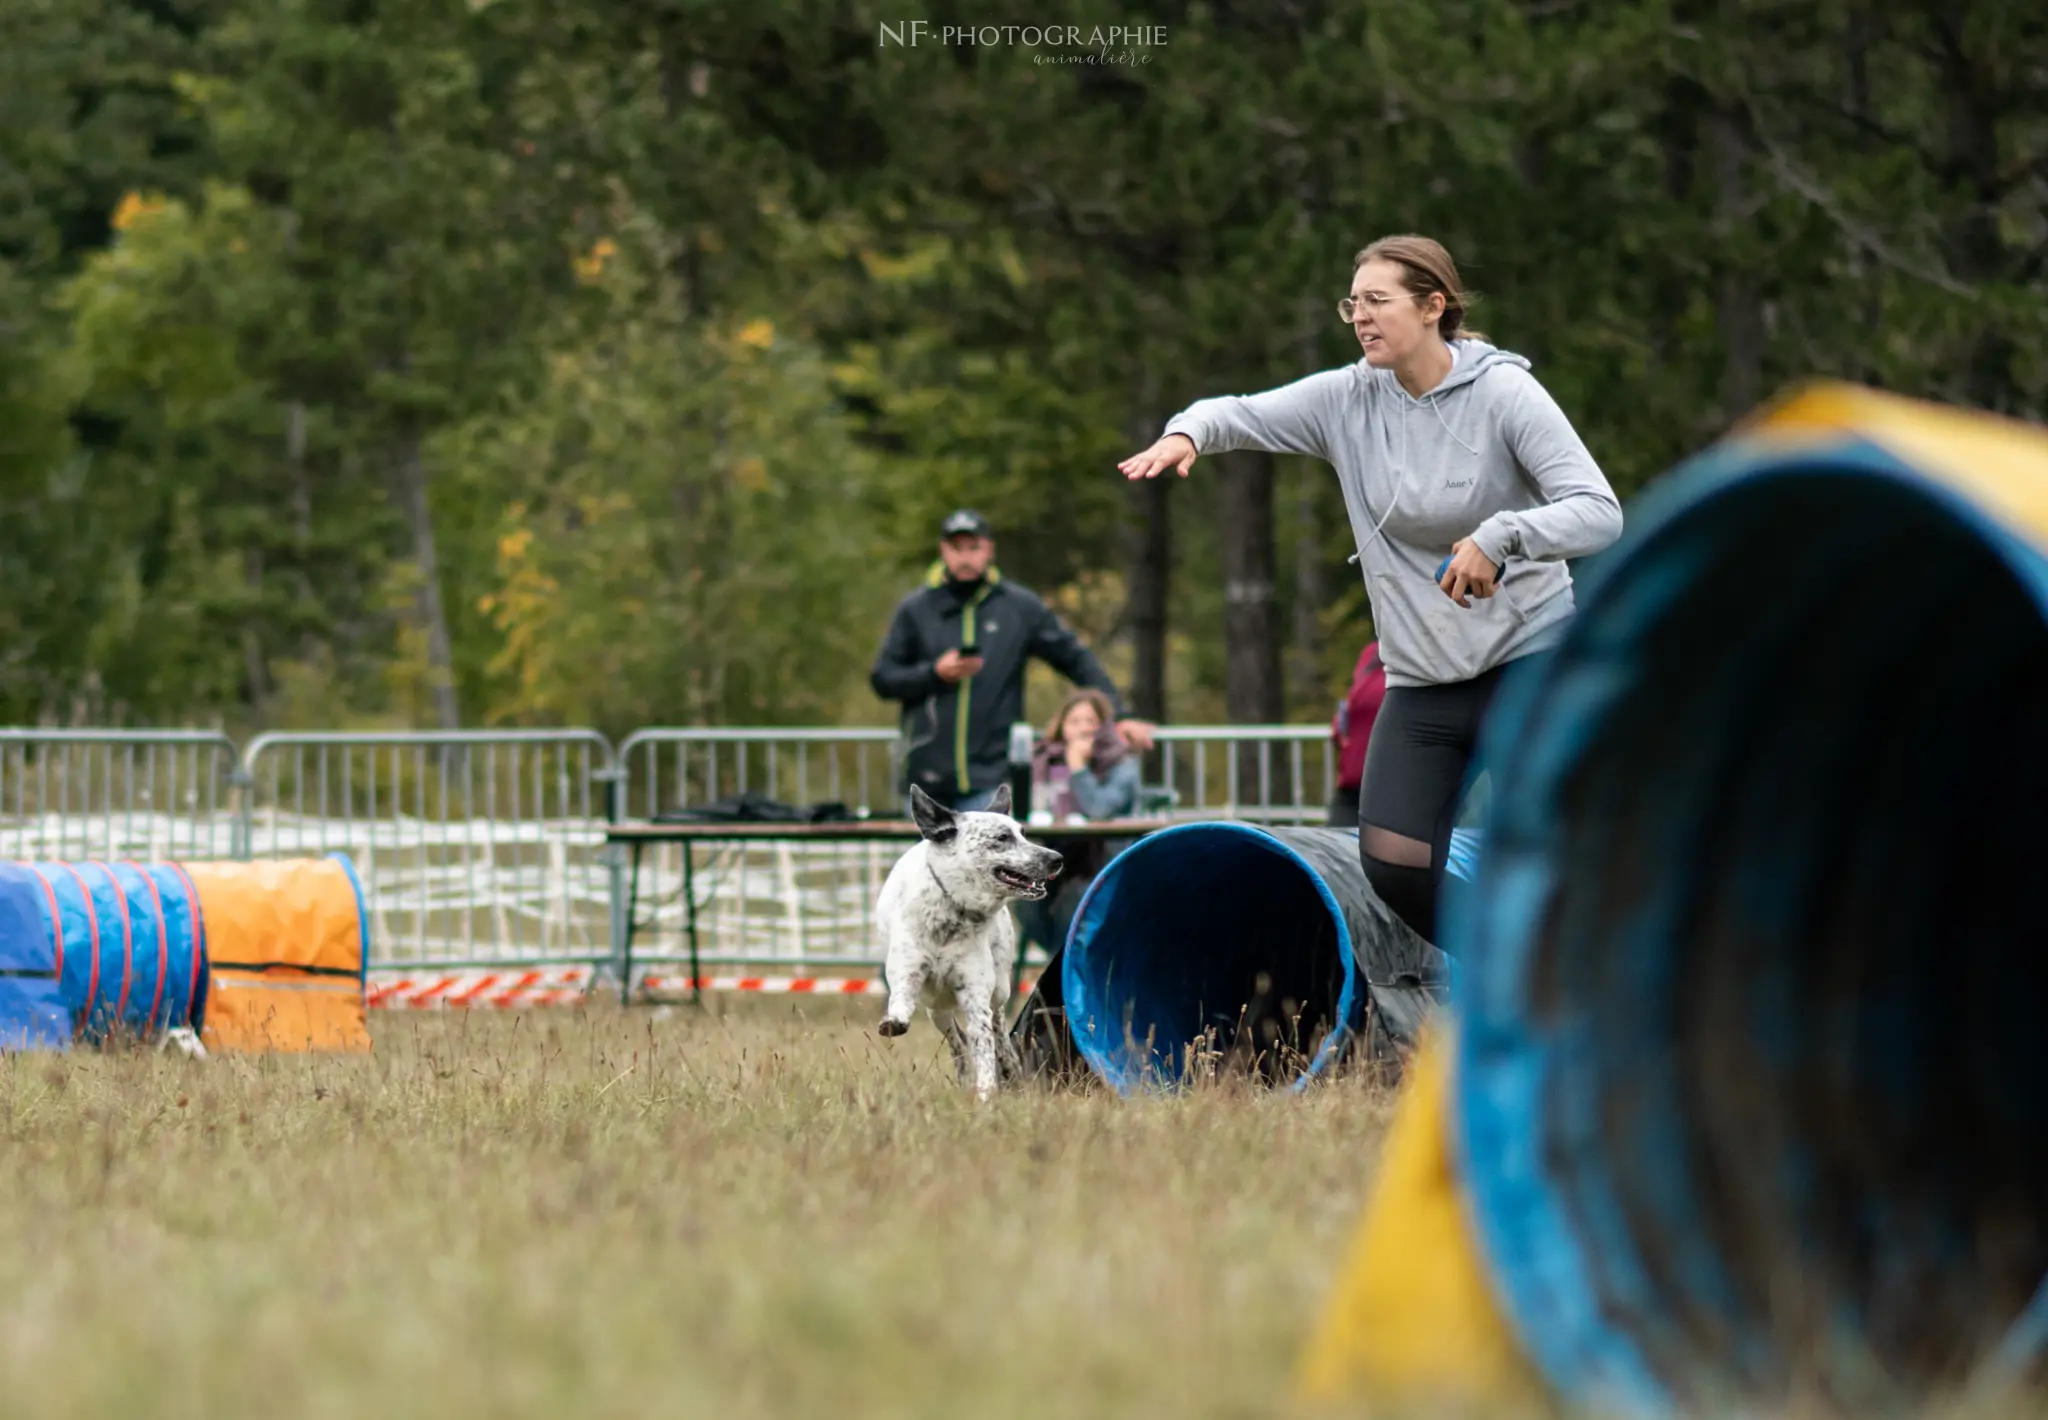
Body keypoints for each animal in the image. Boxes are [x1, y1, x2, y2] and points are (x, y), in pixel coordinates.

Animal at [876, 786, 1064, 1098]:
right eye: (1002, 837)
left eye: (1024, 833)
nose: (1057, 858)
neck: (953, 910)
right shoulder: (908, 971)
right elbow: (901, 1001)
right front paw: (894, 1022)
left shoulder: (975, 995)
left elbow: (985, 1047)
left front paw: (987, 1093)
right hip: (937, 1009)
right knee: (958, 1044)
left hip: (999, 989)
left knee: (997, 1031)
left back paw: (1008, 1067)